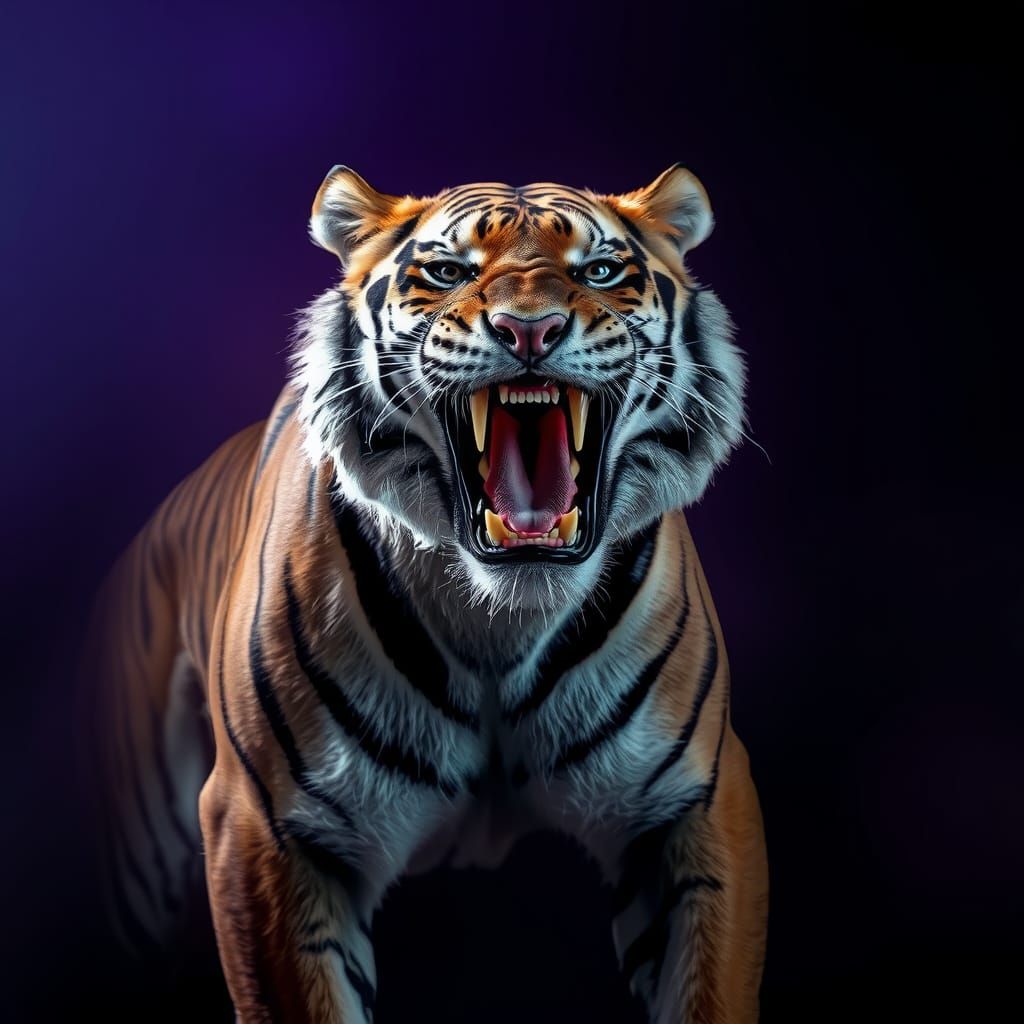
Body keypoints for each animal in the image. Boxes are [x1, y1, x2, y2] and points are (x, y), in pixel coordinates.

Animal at [83, 163, 768, 1023]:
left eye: (600, 272)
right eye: (448, 272)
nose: (531, 331)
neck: (500, 621)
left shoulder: (695, 803)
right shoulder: (267, 822)